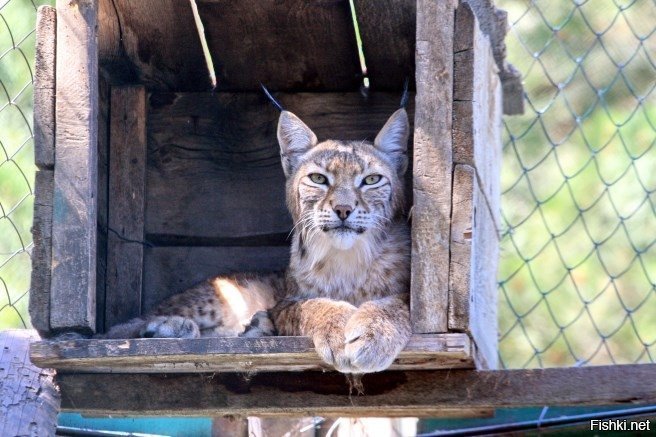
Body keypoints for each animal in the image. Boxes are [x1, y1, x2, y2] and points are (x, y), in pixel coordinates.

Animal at [103, 107, 412, 374]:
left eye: (371, 180)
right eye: (317, 178)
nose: (343, 209)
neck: (347, 256)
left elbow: (401, 302)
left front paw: (374, 332)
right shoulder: (286, 301)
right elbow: (312, 305)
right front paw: (338, 328)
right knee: (114, 331)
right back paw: (172, 326)